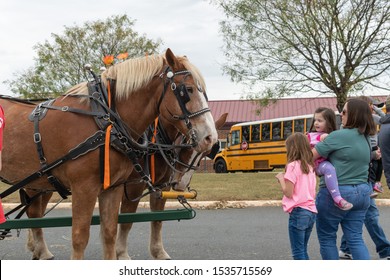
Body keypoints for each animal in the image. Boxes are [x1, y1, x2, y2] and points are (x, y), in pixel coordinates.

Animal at [0, 48, 216, 260]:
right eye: (187, 90)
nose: (210, 138)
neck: (106, 121)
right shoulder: (88, 188)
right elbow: (82, 236)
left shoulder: (115, 187)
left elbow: (112, 231)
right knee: (35, 213)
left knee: (35, 212)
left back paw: (41, 251)